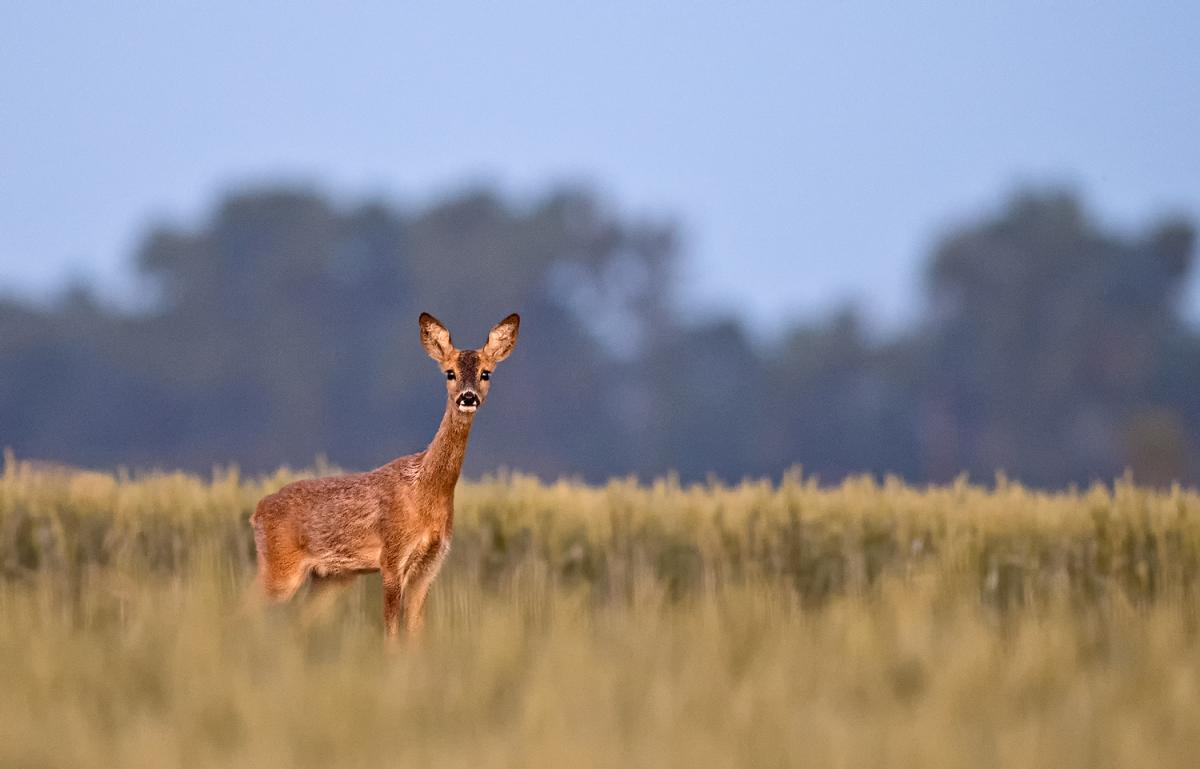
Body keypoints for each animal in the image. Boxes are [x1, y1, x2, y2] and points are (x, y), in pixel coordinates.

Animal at [250, 312, 520, 639]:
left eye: (486, 373)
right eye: (450, 373)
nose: (468, 398)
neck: (426, 492)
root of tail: (257, 512)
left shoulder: (430, 566)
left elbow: (416, 634)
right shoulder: (392, 556)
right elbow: (390, 632)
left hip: (329, 578)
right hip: (280, 566)